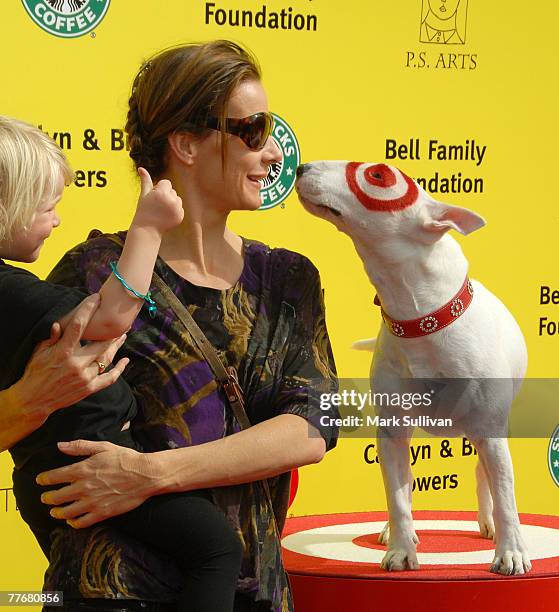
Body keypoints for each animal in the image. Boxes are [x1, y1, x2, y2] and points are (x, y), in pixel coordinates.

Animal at [296, 160, 532, 576]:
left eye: (378, 175)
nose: (301, 167)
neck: (420, 318)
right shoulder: (391, 433)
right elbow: (397, 496)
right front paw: (402, 549)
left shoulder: (490, 431)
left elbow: (506, 496)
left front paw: (511, 553)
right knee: (404, 484)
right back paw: (392, 531)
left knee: (486, 475)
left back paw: (489, 524)